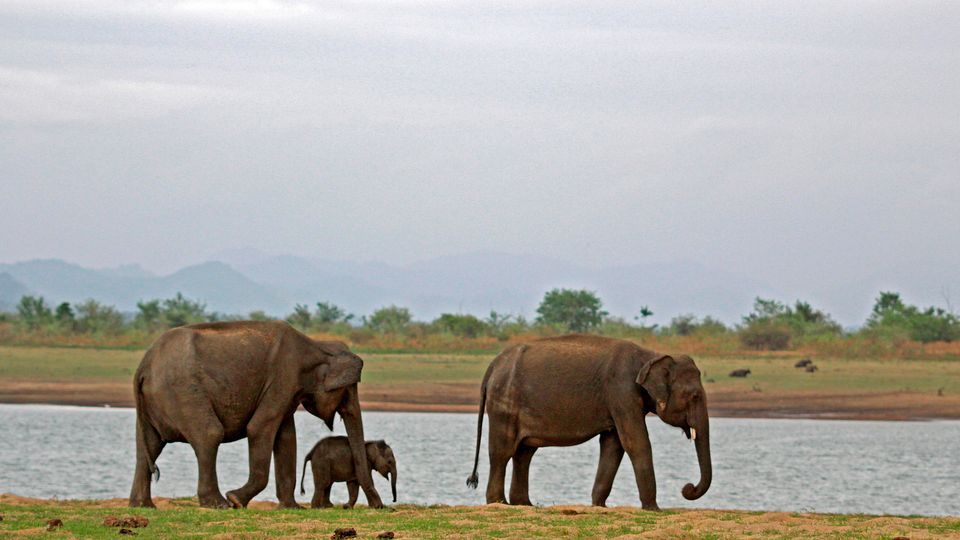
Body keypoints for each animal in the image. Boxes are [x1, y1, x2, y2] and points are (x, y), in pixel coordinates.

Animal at [128, 320, 382, 510]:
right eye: (347, 392)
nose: (378, 506)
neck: (316, 345)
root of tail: (143, 366)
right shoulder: (283, 379)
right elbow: (259, 428)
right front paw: (235, 500)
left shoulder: (287, 390)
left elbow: (286, 438)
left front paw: (291, 508)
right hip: (183, 392)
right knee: (210, 434)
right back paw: (219, 504)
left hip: (156, 402)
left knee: (148, 445)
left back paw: (143, 506)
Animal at [464, 334, 712, 510]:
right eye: (695, 396)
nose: (687, 488)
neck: (651, 355)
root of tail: (494, 365)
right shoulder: (621, 391)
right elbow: (635, 442)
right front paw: (653, 509)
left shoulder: (619, 400)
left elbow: (613, 445)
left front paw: (599, 506)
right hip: (504, 404)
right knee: (503, 451)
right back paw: (499, 503)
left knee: (524, 452)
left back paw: (524, 504)